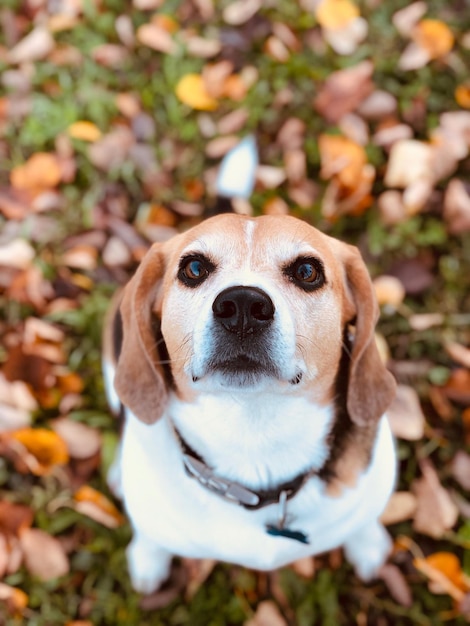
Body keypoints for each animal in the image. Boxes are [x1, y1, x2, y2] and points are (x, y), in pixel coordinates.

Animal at [102, 212, 396, 592]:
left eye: (307, 271)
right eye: (193, 268)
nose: (242, 305)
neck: (253, 434)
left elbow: (362, 523)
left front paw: (368, 546)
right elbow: (152, 538)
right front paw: (147, 560)